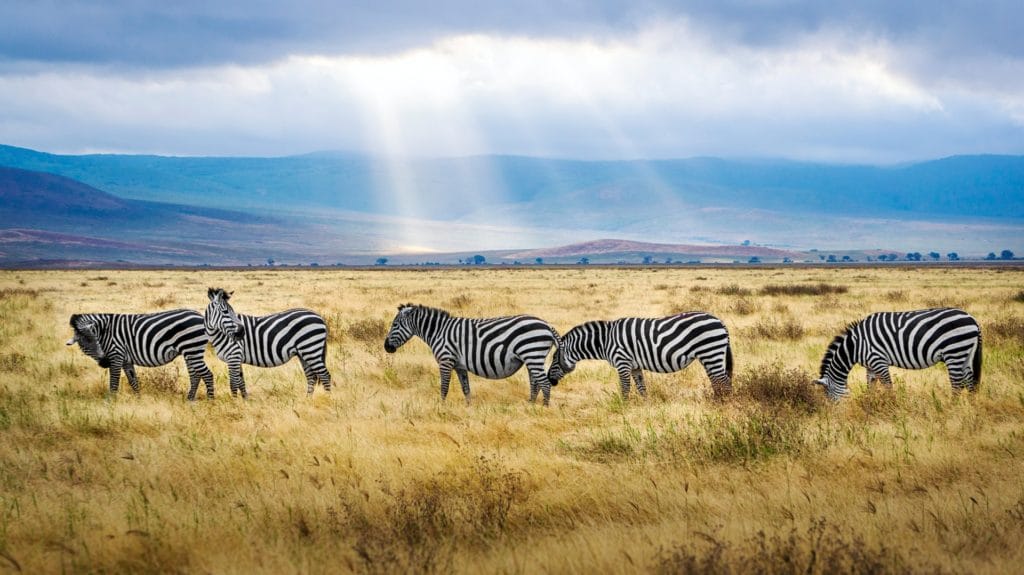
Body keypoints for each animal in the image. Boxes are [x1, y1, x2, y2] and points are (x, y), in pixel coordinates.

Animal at [64, 308, 216, 399]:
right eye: (86, 343)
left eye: (96, 340)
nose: (104, 362)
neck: (105, 331)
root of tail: (200, 316)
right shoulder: (126, 360)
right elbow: (133, 381)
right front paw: (138, 399)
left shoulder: (116, 355)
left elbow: (114, 382)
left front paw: (110, 403)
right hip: (190, 352)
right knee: (195, 375)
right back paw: (190, 399)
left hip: (192, 349)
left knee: (207, 374)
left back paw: (210, 401)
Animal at [205, 284, 333, 396]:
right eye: (225, 312)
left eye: (232, 311)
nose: (242, 332)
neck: (220, 334)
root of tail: (319, 316)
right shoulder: (236, 358)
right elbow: (241, 383)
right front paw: (245, 400)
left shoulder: (234, 356)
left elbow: (233, 384)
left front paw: (235, 402)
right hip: (304, 353)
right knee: (311, 376)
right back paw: (308, 399)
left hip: (311, 349)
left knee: (325, 375)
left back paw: (328, 398)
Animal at [385, 302, 561, 405]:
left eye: (394, 325)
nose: (386, 347)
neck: (438, 331)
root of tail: (547, 325)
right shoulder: (460, 365)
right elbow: (466, 388)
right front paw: (468, 408)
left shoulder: (445, 360)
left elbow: (444, 387)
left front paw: (441, 407)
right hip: (532, 357)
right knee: (535, 382)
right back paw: (530, 404)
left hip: (532, 353)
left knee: (544, 383)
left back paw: (543, 408)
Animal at [548, 311, 733, 396]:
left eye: (555, 359)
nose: (550, 380)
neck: (605, 341)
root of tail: (720, 321)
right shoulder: (634, 366)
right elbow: (641, 387)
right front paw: (645, 407)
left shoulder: (622, 362)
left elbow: (625, 388)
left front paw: (623, 408)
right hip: (709, 355)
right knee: (717, 380)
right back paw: (716, 402)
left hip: (711, 351)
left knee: (724, 381)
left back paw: (724, 405)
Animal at [815, 304, 983, 399]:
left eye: (829, 396)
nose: (833, 415)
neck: (855, 346)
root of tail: (972, 319)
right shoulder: (870, 365)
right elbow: (871, 386)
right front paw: (870, 405)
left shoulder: (878, 360)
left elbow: (888, 387)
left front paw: (892, 407)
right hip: (966, 353)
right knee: (970, 382)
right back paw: (971, 409)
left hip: (954, 352)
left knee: (957, 384)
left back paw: (950, 409)